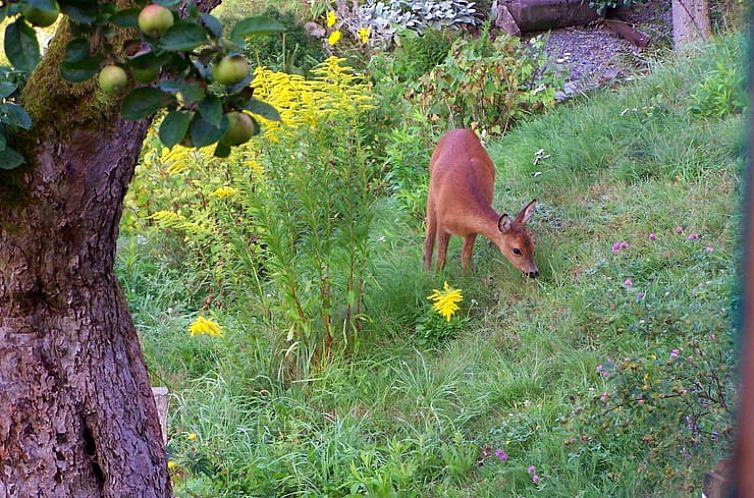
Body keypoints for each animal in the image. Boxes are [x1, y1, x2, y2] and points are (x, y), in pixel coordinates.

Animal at [420, 127, 536, 276]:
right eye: (516, 250)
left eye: (531, 243)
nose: (533, 272)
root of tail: (458, 129)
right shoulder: (443, 223)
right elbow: (441, 259)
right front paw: (437, 278)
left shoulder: (472, 230)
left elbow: (465, 256)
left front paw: (467, 277)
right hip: (431, 196)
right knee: (428, 240)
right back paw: (426, 272)